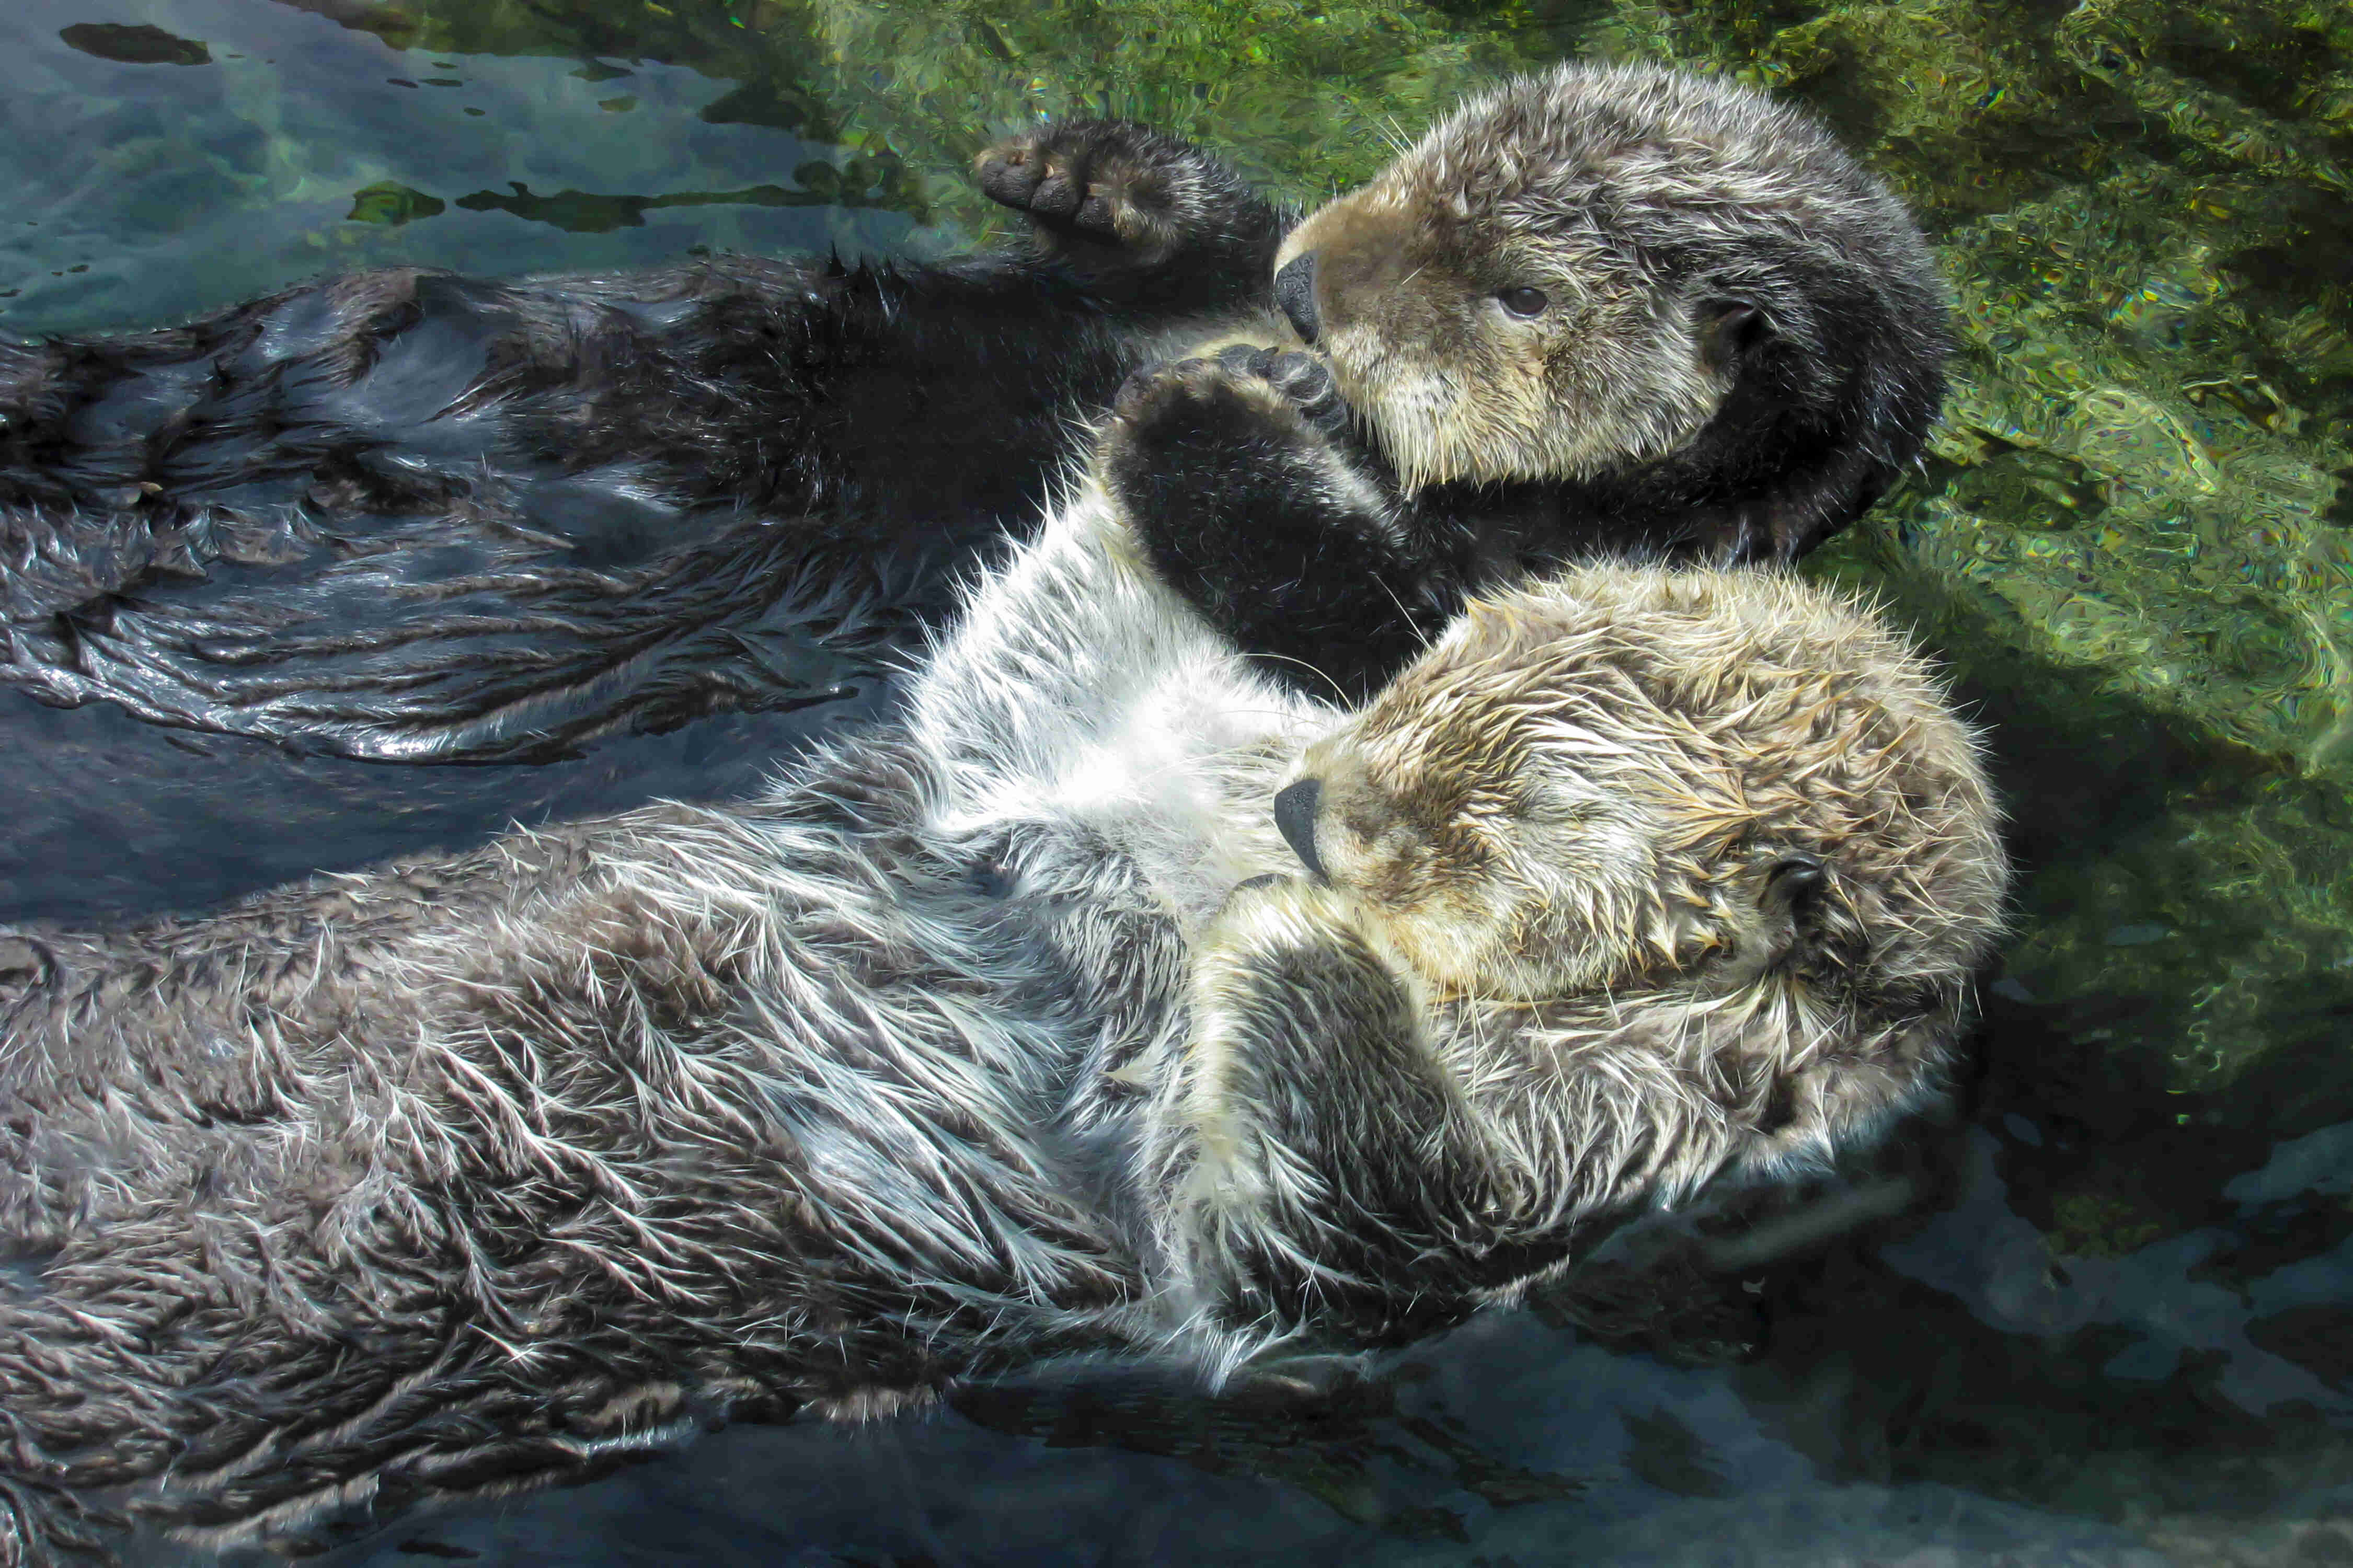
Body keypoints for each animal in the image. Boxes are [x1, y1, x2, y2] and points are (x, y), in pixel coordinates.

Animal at [0, 350, 2004, 1561]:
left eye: (1496, 816)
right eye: (1428, 683)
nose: (1305, 814)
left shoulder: (1608, 1149)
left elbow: (1336, 1229)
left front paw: (1291, 939)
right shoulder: (1009, 792)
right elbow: (1025, 668)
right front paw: (1235, 408)